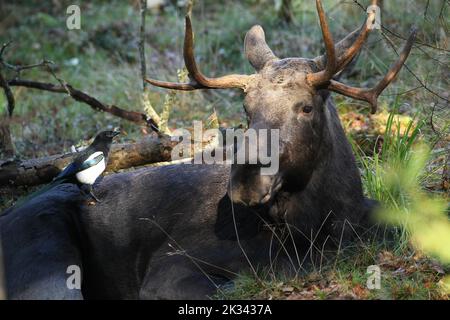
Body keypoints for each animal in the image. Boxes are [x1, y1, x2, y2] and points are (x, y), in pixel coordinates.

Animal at [0, 1, 414, 298]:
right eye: (247, 108)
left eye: (306, 107)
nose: (246, 177)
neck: (330, 219)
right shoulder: (170, 271)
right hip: (48, 267)